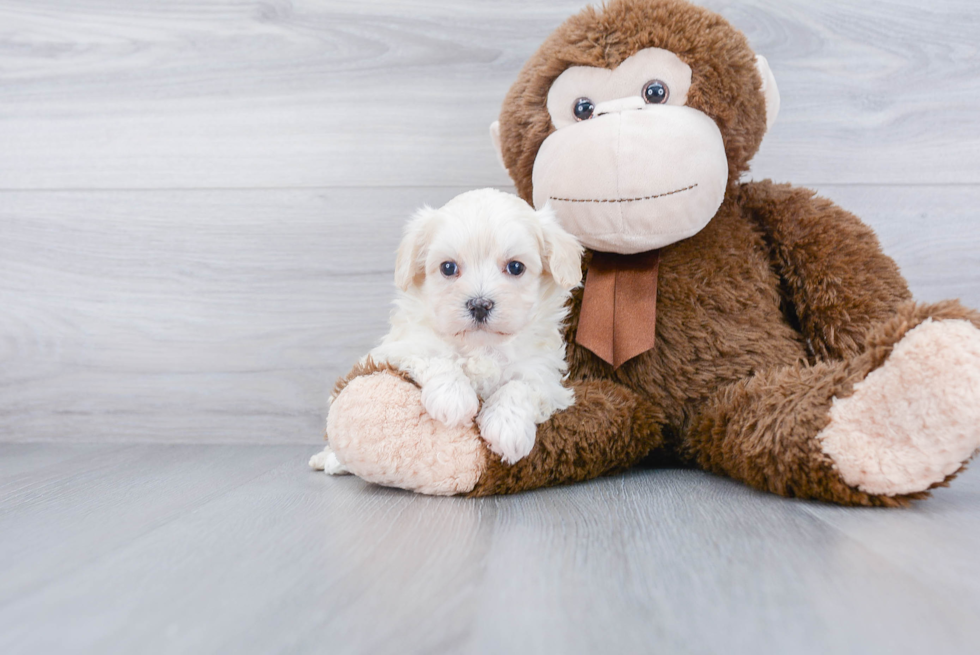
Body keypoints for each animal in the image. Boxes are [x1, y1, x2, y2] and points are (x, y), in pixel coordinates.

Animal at [308, 187, 580, 474]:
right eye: (448, 267)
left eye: (516, 267)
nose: (479, 304)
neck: (481, 346)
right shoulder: (401, 346)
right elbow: (435, 356)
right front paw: (453, 397)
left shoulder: (545, 375)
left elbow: (522, 386)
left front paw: (507, 427)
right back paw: (331, 460)